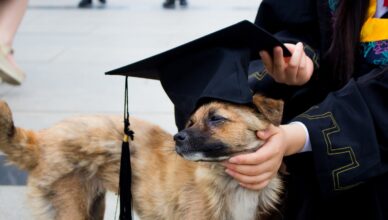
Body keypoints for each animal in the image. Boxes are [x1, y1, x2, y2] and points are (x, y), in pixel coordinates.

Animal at [0, 93, 284, 219]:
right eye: (190, 122)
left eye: (216, 119)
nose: (177, 138)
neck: (224, 176)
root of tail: (42, 139)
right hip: (72, 208)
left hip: (94, 206)